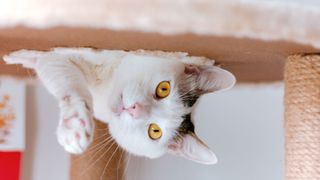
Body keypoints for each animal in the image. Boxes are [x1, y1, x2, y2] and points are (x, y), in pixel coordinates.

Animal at [3, 47, 235, 165]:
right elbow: (68, 82)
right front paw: (75, 125)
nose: (134, 109)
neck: (104, 88)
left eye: (154, 131)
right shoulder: (61, 55)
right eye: (164, 89)